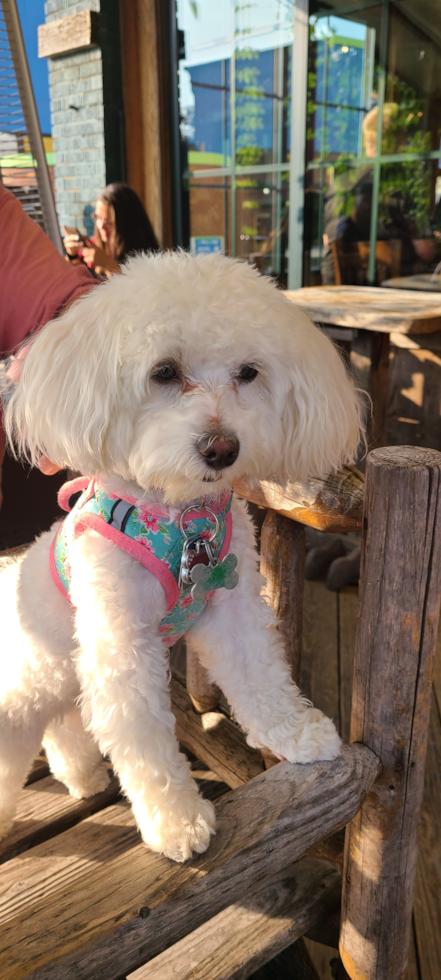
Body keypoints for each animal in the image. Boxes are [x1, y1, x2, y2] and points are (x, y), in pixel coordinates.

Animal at [0, 251, 360, 856]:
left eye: (249, 372)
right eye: (164, 372)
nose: (222, 448)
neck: (178, 515)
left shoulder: (233, 606)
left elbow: (259, 673)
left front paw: (296, 733)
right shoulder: (121, 645)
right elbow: (143, 736)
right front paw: (176, 820)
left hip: (65, 682)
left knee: (65, 726)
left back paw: (84, 776)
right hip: (27, 687)